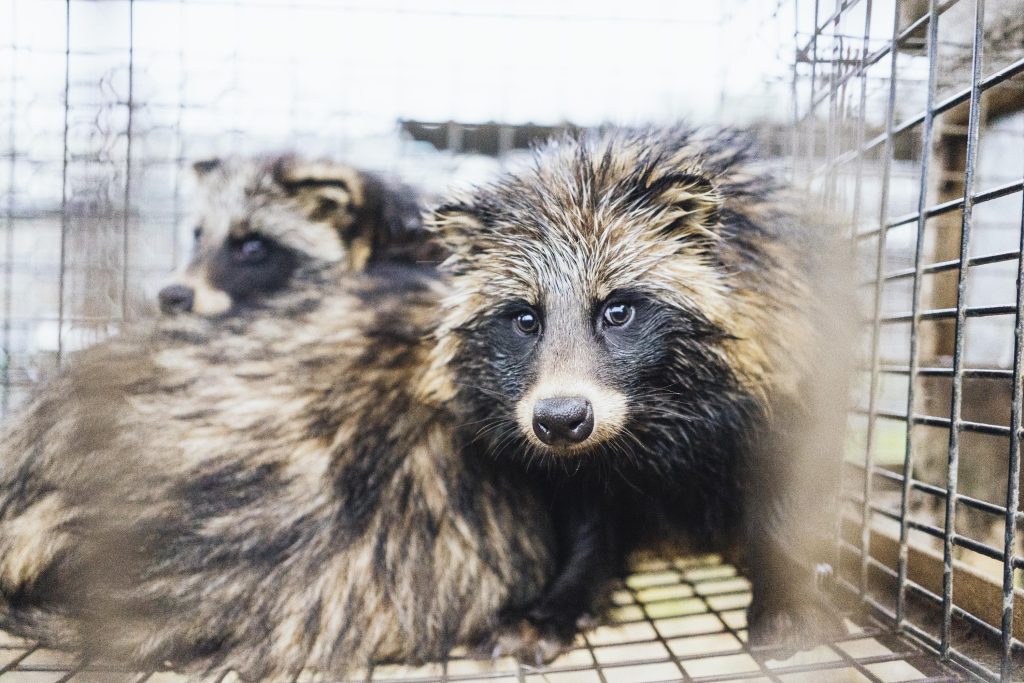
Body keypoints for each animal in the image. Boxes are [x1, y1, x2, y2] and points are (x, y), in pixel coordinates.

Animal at [422, 126, 851, 658]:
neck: (657, 427)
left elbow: (780, 503)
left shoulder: (788, 376)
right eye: (525, 319)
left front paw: (786, 588)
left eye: (618, 311)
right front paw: (563, 598)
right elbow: (588, 524)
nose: (560, 419)